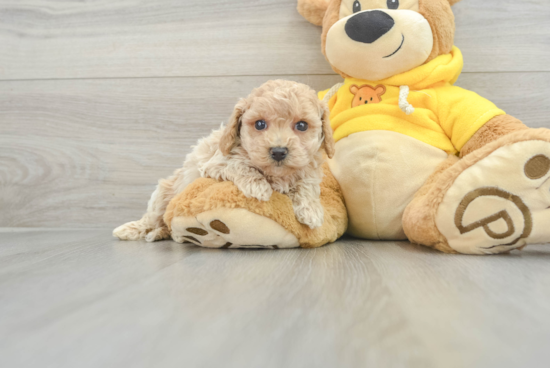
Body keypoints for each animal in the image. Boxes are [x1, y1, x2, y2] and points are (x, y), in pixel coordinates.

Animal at [114, 79, 334, 243]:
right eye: (260, 124)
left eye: (302, 125)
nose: (278, 152)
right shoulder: (215, 163)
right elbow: (240, 164)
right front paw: (258, 187)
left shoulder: (309, 166)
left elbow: (307, 184)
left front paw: (311, 210)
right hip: (161, 195)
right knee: (153, 218)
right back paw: (134, 230)